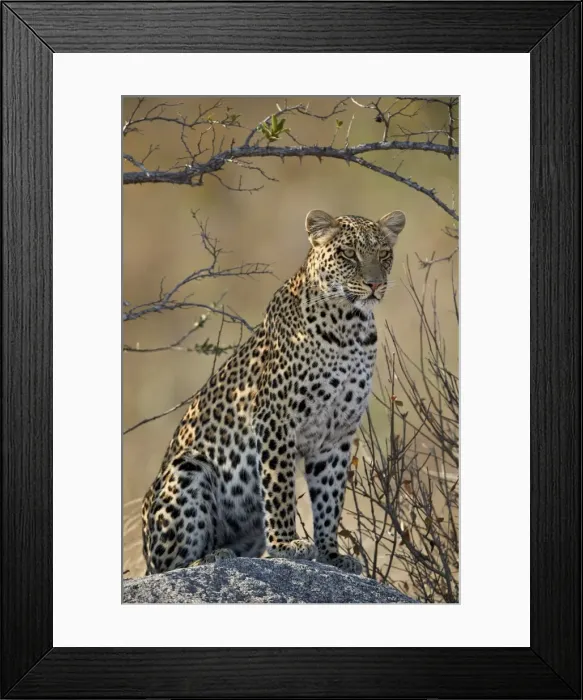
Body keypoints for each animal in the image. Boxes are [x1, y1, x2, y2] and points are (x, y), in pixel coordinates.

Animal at [141, 207, 406, 576]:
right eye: (349, 254)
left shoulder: (337, 434)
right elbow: (279, 486)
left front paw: (331, 554)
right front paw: (286, 544)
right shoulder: (275, 421)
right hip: (187, 468)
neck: (349, 327)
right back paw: (211, 556)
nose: (375, 284)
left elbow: (330, 498)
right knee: (169, 565)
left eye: (384, 254)